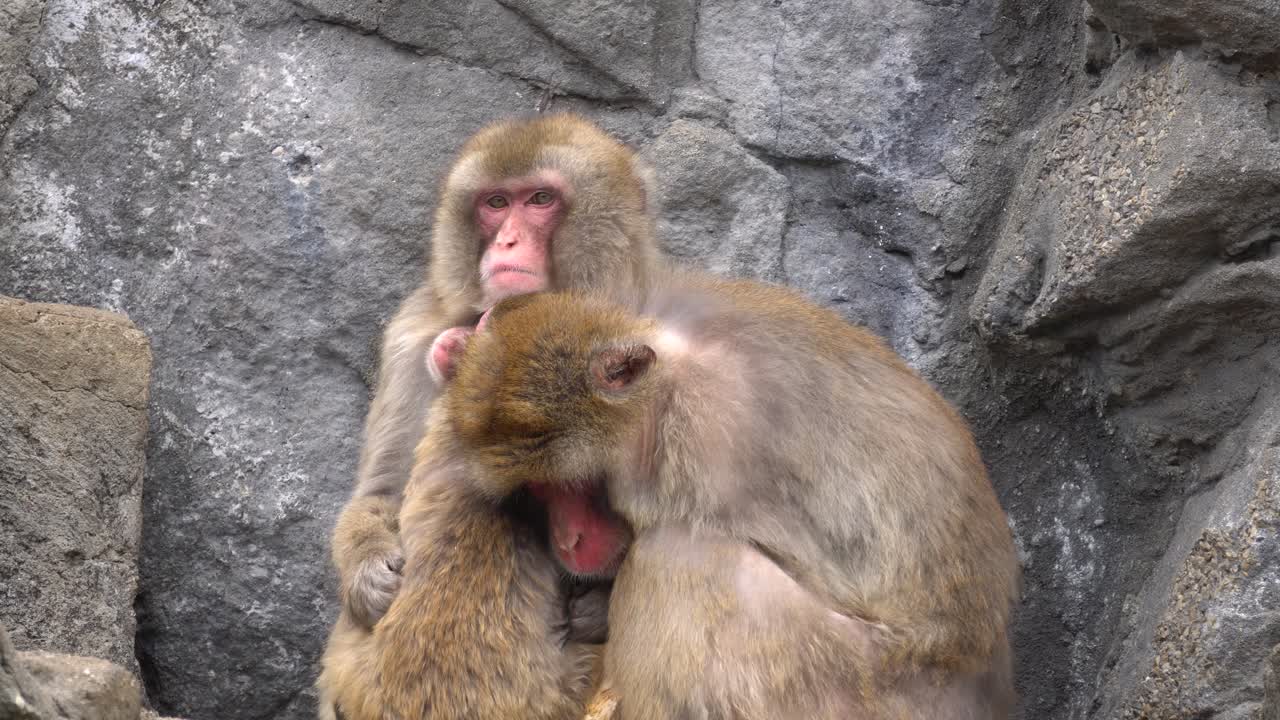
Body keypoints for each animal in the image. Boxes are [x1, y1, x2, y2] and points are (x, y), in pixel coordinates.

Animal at [318, 114, 661, 719]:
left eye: (541, 199)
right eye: (496, 203)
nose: (506, 241)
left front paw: (598, 606)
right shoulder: (413, 332)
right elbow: (381, 492)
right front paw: (367, 572)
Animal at [444, 273, 1021, 720]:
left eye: (573, 483)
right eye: (536, 490)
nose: (569, 540)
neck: (664, 384)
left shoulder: (711, 438)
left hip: (853, 686)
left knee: (678, 561)